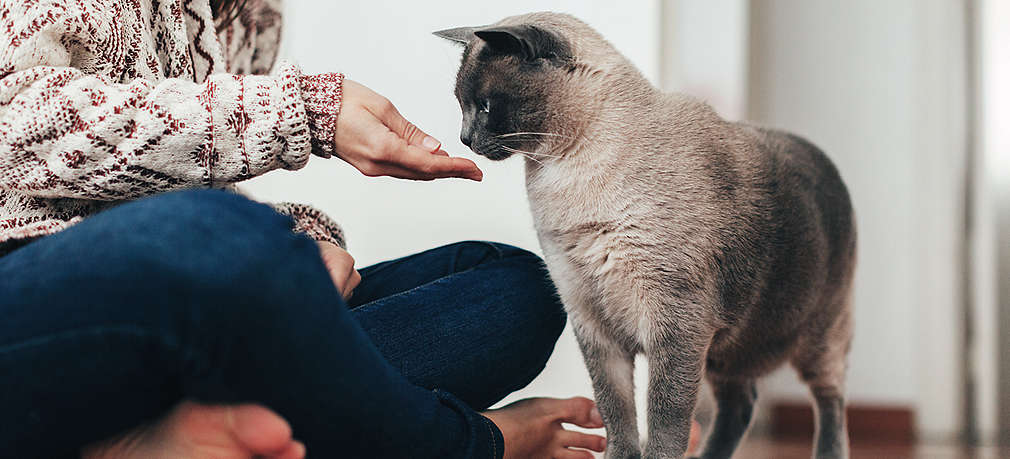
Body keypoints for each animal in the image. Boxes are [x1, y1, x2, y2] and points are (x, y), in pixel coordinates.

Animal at [438, 10, 856, 459]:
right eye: (462, 106)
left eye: (486, 105)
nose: (464, 138)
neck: (564, 176)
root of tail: (820, 154)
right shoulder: (595, 327)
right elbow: (617, 414)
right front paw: (619, 455)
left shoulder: (675, 326)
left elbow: (664, 419)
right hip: (726, 353)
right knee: (741, 405)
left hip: (817, 338)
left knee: (830, 401)